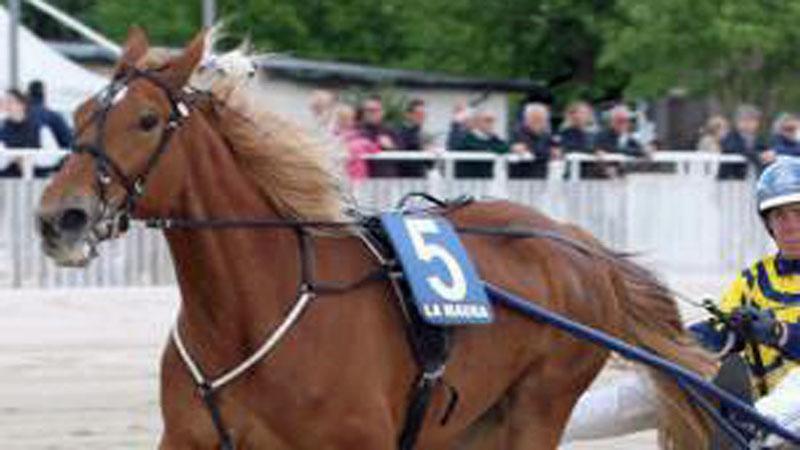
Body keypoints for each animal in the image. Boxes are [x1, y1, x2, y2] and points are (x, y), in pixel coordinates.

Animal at [36, 27, 716, 450]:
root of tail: (582, 247)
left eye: (147, 120)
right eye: (79, 116)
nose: (58, 217)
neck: (250, 316)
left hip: (538, 406)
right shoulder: (187, 437)